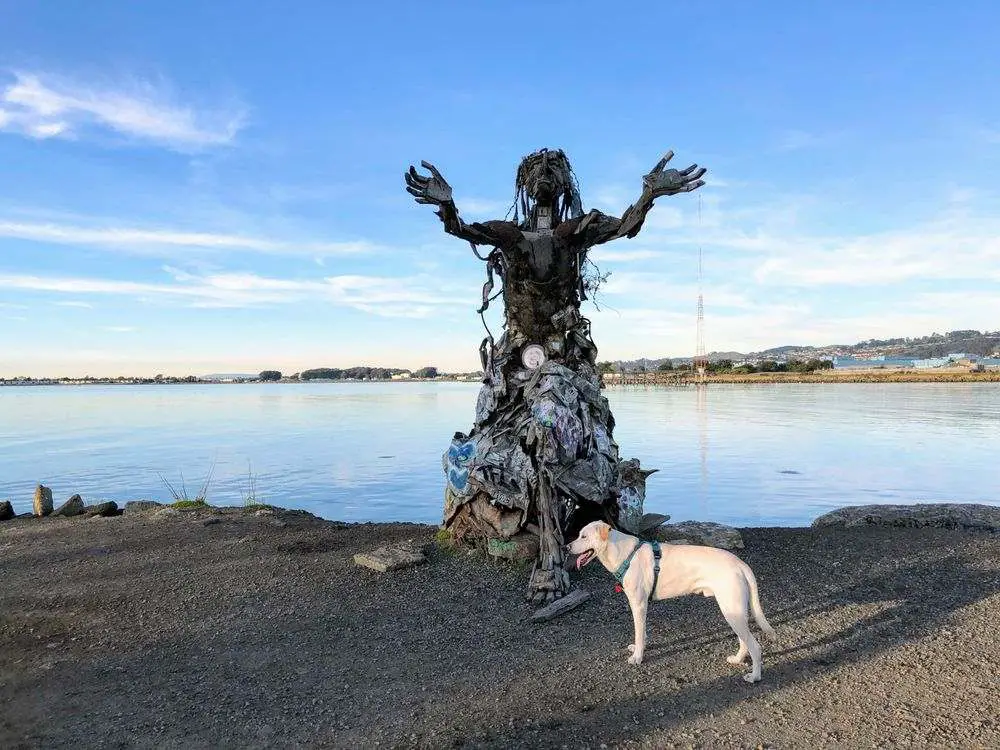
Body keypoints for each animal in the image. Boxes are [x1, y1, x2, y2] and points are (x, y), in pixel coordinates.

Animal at [572, 520, 772, 684]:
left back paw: (755, 676)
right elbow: (642, 632)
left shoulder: (638, 604)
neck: (625, 553)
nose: (567, 547)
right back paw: (737, 660)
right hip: (734, 611)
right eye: (578, 534)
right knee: (744, 641)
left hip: (732, 609)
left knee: (755, 646)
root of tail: (740, 563)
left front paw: (638, 657)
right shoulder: (642, 606)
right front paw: (639, 648)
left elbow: (638, 632)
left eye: (584, 536)